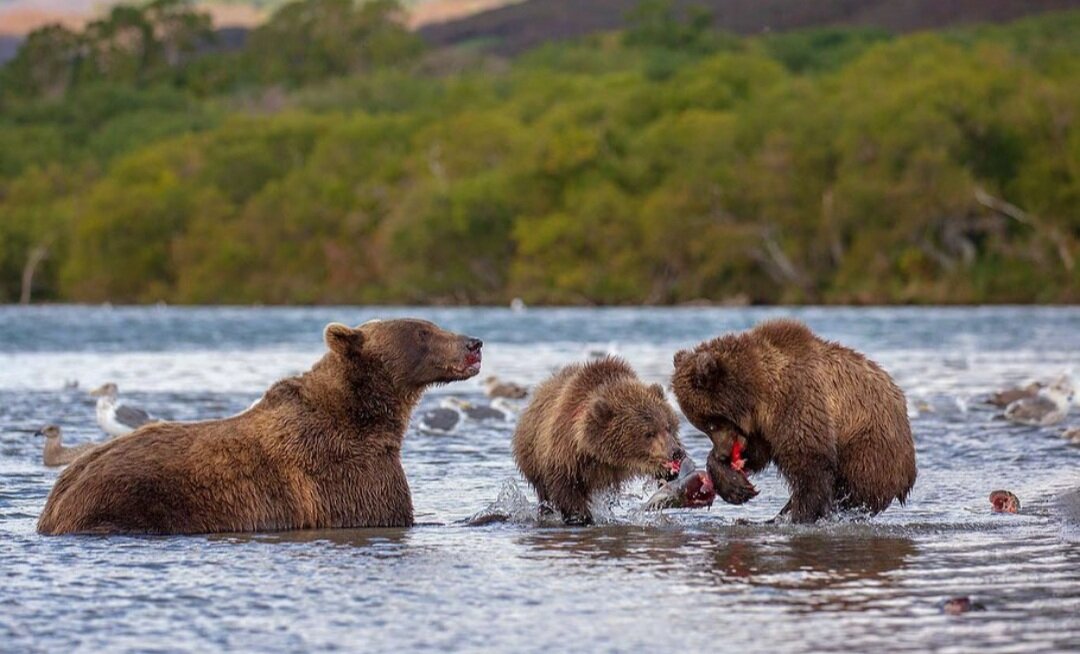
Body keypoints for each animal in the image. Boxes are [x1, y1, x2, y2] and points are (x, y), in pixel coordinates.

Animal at [36, 319, 486, 537]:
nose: (474, 343)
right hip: (127, 501)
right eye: (423, 332)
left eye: (433, 325)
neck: (364, 416)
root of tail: (55, 503)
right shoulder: (346, 474)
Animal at [511, 356, 682, 524]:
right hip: (531, 456)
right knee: (543, 492)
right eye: (648, 433)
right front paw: (580, 516)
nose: (675, 452)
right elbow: (565, 487)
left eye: (668, 426)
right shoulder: (566, 454)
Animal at [669, 319, 915, 524]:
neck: (758, 393)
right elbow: (757, 453)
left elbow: (808, 462)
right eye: (704, 427)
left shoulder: (796, 400)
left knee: (852, 487)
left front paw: (798, 516)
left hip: (869, 442)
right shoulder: (763, 427)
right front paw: (735, 485)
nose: (723, 453)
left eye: (712, 423)